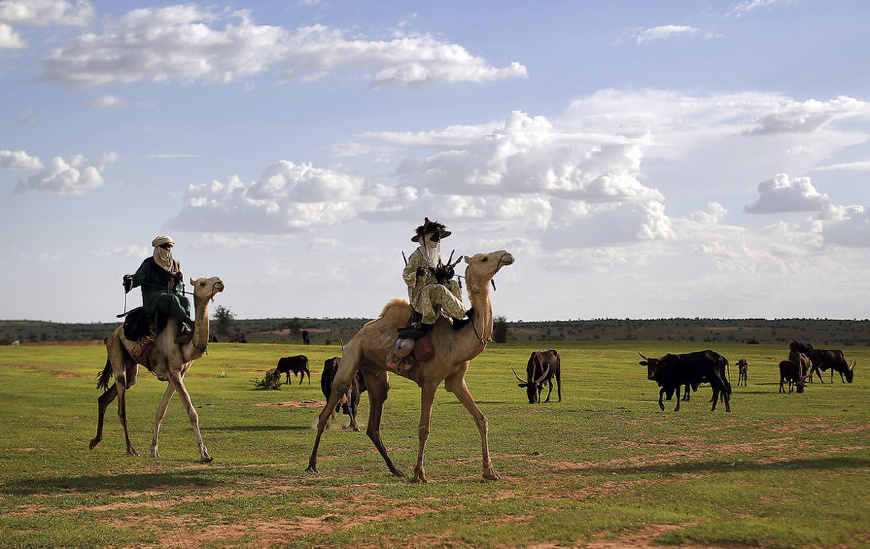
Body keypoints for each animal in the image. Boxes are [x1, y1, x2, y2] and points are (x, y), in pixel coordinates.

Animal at [88, 276, 223, 460]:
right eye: (202, 283)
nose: (220, 283)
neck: (185, 345)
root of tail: (112, 334)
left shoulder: (178, 374)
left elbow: (160, 411)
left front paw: (154, 450)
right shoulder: (174, 373)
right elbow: (192, 412)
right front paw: (204, 454)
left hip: (131, 365)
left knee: (107, 396)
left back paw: (95, 441)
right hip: (115, 349)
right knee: (122, 407)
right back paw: (130, 448)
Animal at [306, 250, 516, 482]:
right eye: (484, 258)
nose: (507, 255)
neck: (457, 339)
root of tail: (358, 335)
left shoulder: (456, 381)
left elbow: (481, 419)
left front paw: (490, 471)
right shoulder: (430, 380)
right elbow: (424, 428)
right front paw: (419, 473)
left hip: (375, 373)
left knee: (374, 425)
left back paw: (395, 470)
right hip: (351, 357)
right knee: (328, 408)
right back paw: (312, 464)